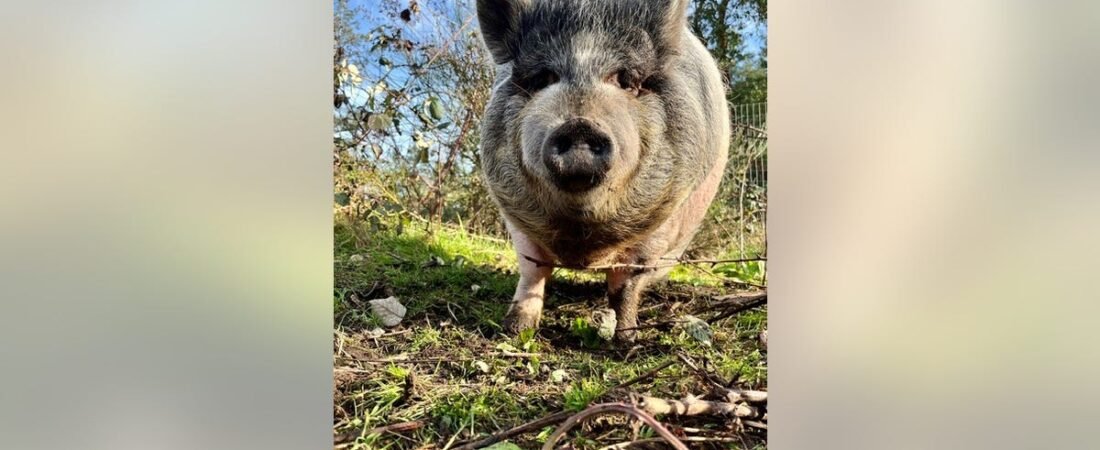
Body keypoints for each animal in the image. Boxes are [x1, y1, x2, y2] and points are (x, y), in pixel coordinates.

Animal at [476, 0, 730, 341]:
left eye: (625, 80)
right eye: (543, 78)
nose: (579, 125)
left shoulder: (662, 222)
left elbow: (625, 287)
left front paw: (626, 340)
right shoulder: (515, 214)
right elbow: (532, 271)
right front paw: (514, 330)